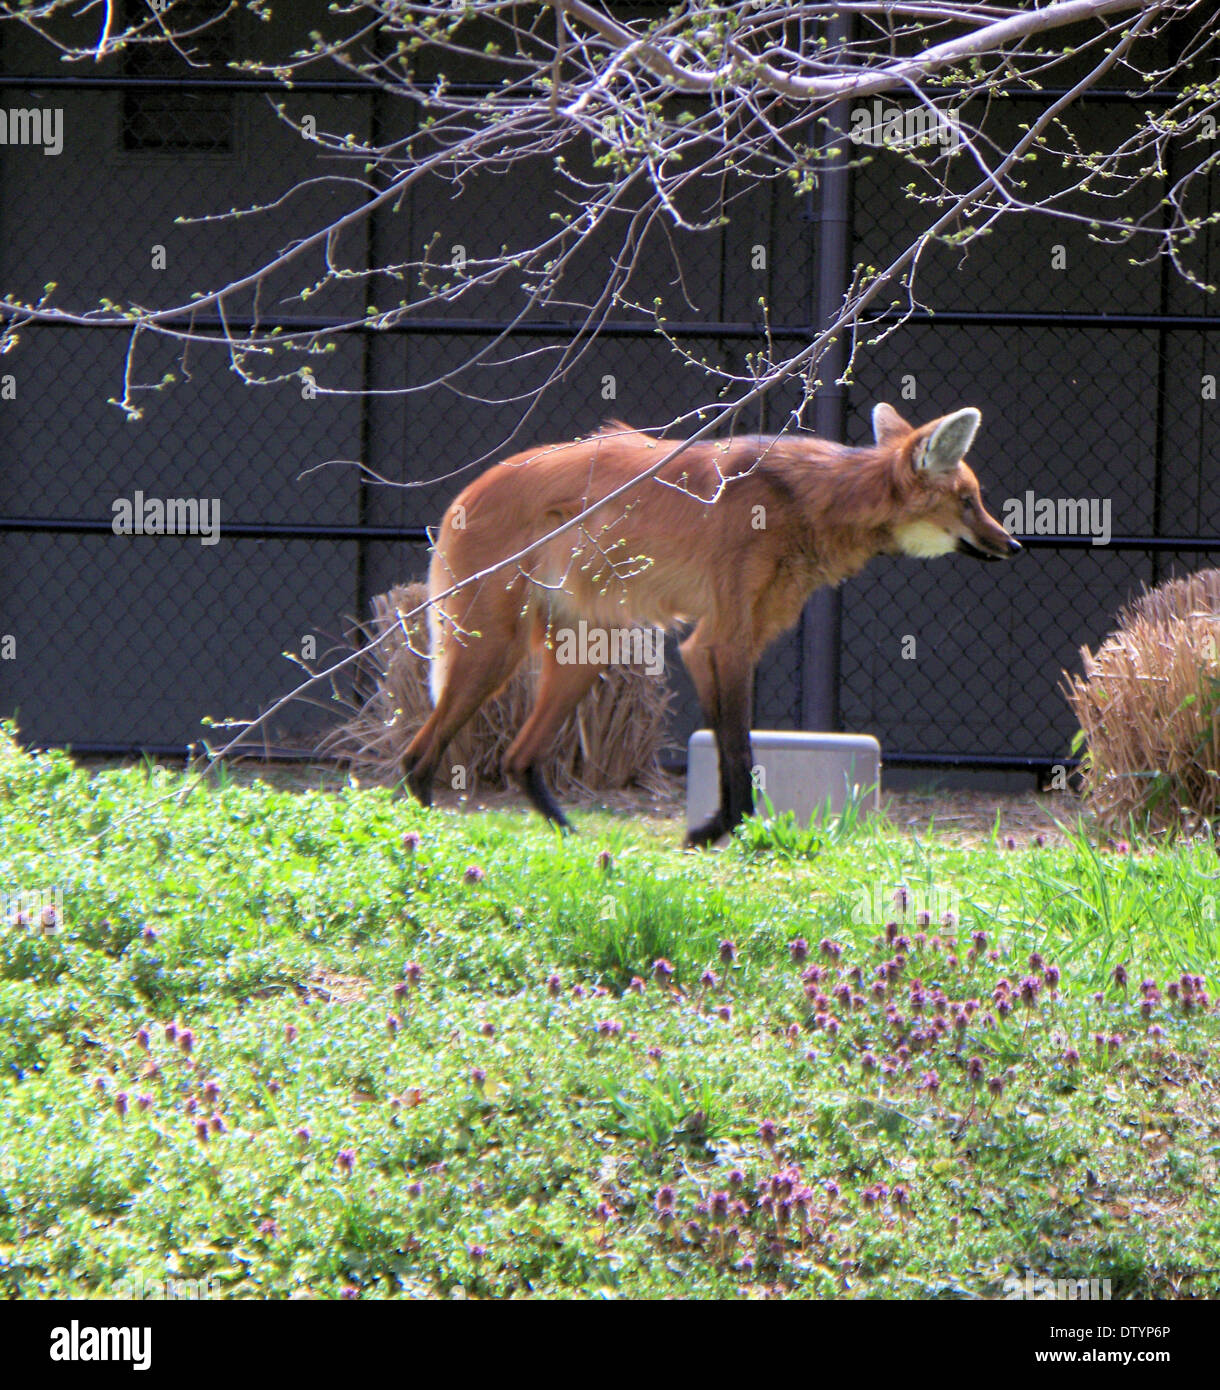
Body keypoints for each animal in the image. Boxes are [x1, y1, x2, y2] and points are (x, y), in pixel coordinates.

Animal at [402, 397, 1022, 839]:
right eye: (969, 501)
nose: (1013, 544)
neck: (812, 504)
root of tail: (466, 491)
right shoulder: (720, 641)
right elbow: (738, 753)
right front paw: (717, 833)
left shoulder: (733, 640)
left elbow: (734, 751)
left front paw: (721, 832)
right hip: (493, 648)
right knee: (418, 756)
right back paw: (426, 838)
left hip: (588, 650)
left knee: (519, 757)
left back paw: (571, 840)